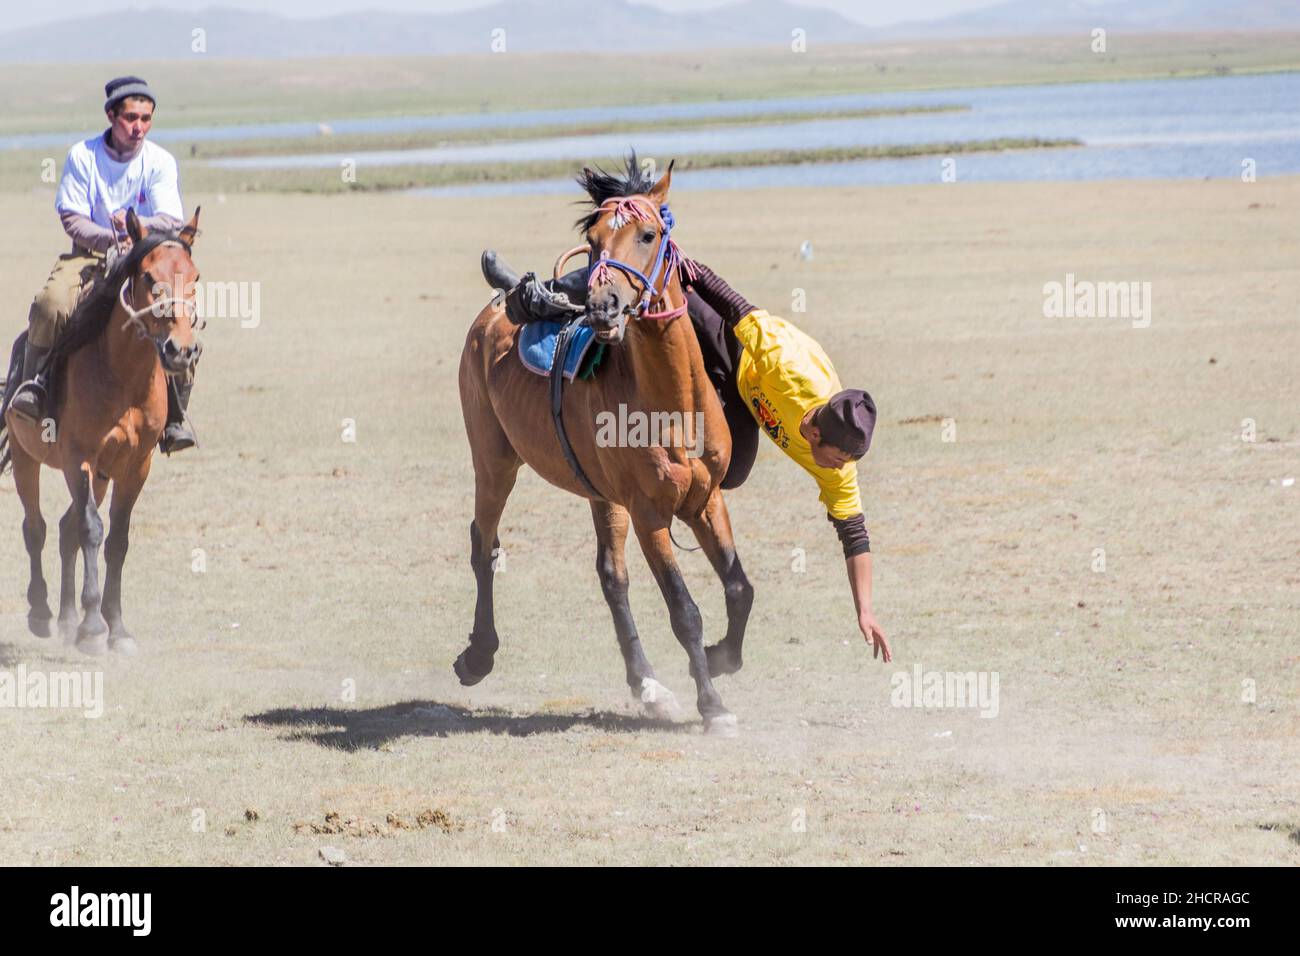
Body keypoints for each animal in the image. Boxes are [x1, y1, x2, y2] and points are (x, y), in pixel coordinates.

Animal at [1, 209, 201, 658]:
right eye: (148, 276)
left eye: (195, 275)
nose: (181, 350)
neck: (121, 373)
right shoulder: (79, 457)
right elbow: (92, 530)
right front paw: (94, 628)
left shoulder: (135, 466)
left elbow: (117, 539)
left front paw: (116, 627)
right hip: (27, 459)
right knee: (37, 528)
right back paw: (42, 613)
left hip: (103, 474)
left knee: (64, 530)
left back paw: (66, 619)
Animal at [462, 160, 759, 738]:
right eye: (594, 240)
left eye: (648, 235)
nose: (603, 306)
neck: (675, 405)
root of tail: (493, 312)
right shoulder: (650, 515)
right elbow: (685, 611)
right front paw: (712, 705)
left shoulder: (706, 500)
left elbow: (739, 590)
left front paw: (721, 659)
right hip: (494, 463)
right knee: (482, 545)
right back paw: (478, 655)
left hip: (602, 494)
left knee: (611, 577)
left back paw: (648, 686)